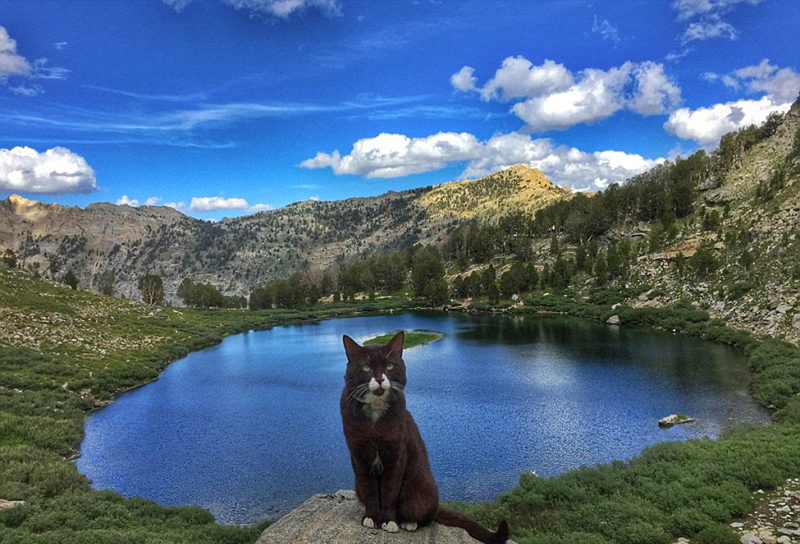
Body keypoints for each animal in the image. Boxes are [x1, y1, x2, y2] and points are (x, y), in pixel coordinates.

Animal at [340, 332, 510, 544]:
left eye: (390, 366)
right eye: (366, 367)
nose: (379, 378)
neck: (376, 416)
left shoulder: (397, 452)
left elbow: (390, 490)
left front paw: (389, 522)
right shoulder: (358, 453)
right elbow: (369, 488)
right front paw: (371, 518)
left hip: (423, 488)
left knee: (425, 515)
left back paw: (408, 523)